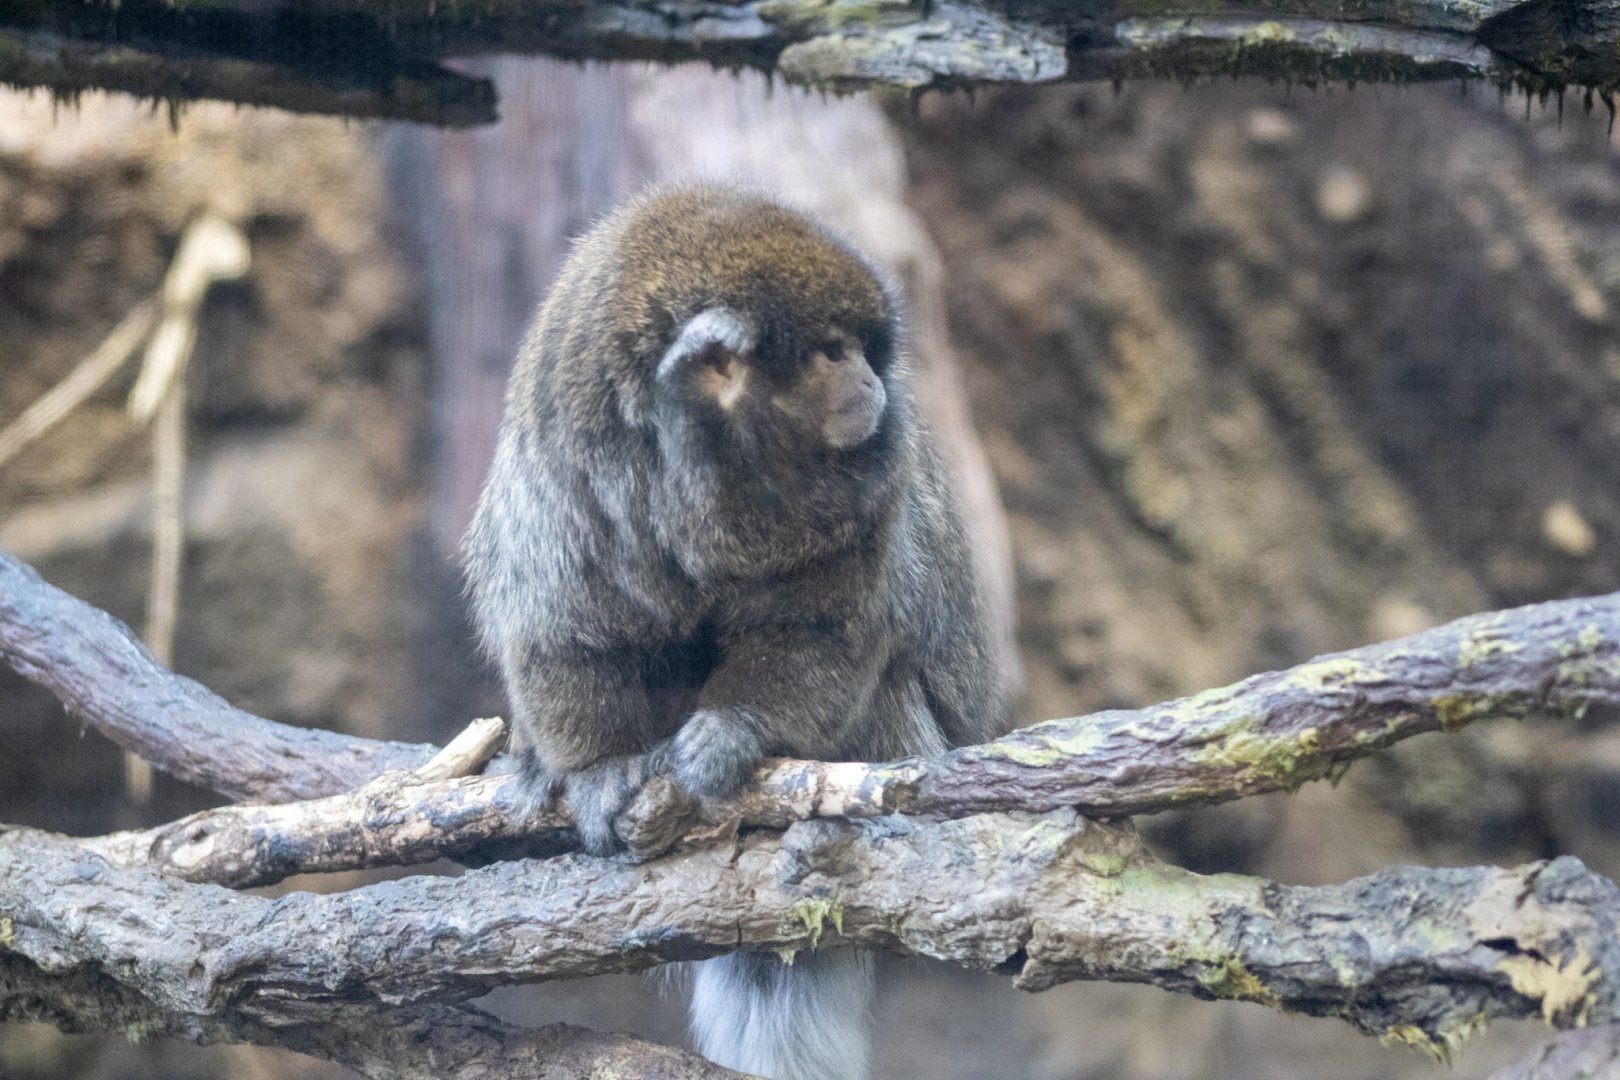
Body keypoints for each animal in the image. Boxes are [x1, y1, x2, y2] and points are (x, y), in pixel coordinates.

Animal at [464, 182, 1007, 1080]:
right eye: (831, 353)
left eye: (863, 350)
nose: (872, 381)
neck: (700, 478)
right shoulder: (568, 472)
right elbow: (561, 630)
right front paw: (599, 769)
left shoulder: (870, 497)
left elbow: (824, 628)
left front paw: (730, 734)